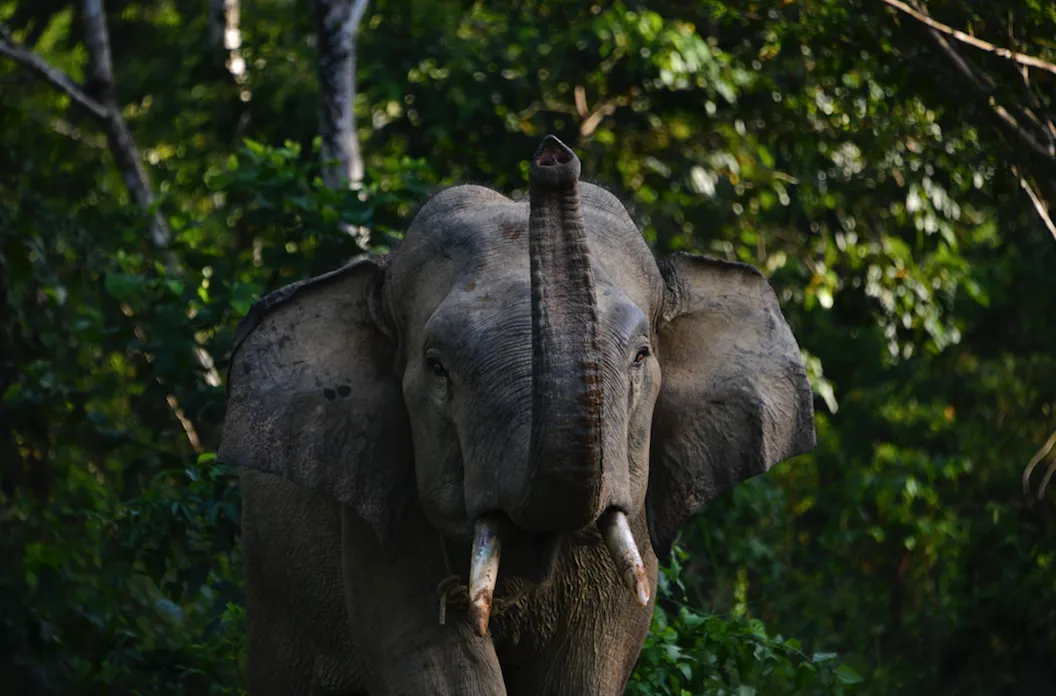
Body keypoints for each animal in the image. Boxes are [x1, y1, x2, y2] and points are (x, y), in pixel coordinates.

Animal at [218, 135, 816, 695]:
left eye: (641, 356)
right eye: (437, 368)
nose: (552, 156)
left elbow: (589, 668)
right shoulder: (382, 502)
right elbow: (433, 663)